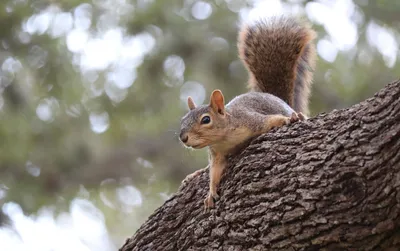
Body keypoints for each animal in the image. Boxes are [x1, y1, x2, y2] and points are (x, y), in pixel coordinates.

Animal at [180, 16, 318, 210]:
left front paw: (288, 119)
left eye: (206, 120)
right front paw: (211, 192)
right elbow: (214, 171)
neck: (225, 137)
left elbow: (271, 120)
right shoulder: (217, 154)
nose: (183, 138)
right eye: (183, 120)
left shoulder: (251, 120)